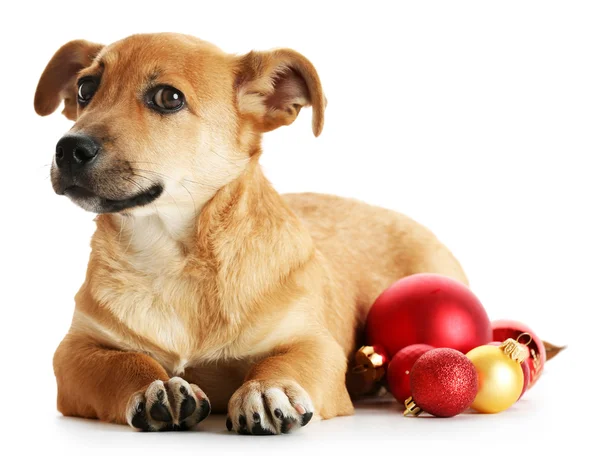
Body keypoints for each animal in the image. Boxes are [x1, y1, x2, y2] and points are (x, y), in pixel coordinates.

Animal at [34, 33, 468, 434]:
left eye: (168, 98)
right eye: (85, 89)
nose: (68, 149)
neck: (173, 257)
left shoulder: (317, 345)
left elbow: (284, 360)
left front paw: (266, 388)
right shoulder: (73, 352)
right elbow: (124, 362)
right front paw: (157, 384)